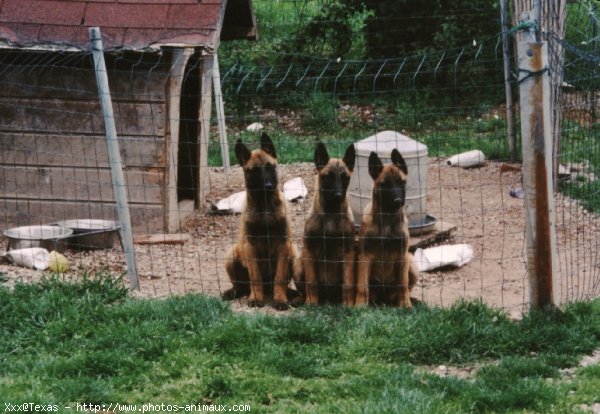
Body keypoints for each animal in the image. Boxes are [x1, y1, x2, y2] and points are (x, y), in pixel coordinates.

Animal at [221, 133, 296, 310]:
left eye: (270, 167)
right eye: (254, 171)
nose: (268, 186)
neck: (265, 206)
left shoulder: (284, 245)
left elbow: (280, 277)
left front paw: (280, 299)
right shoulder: (250, 246)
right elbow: (255, 277)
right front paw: (256, 298)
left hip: (294, 252)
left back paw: (289, 293)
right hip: (231, 255)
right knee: (241, 286)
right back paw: (233, 292)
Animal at [296, 142, 356, 304]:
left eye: (345, 177)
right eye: (328, 177)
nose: (338, 195)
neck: (331, 212)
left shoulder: (348, 252)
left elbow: (348, 283)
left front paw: (348, 304)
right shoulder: (309, 250)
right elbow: (311, 282)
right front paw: (311, 302)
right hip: (299, 264)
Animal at [356, 149, 418, 308]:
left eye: (402, 182)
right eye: (385, 184)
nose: (398, 201)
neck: (388, 219)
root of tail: (383, 298)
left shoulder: (402, 256)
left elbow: (403, 284)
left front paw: (406, 305)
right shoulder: (365, 256)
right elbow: (362, 285)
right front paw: (359, 306)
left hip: (412, 264)